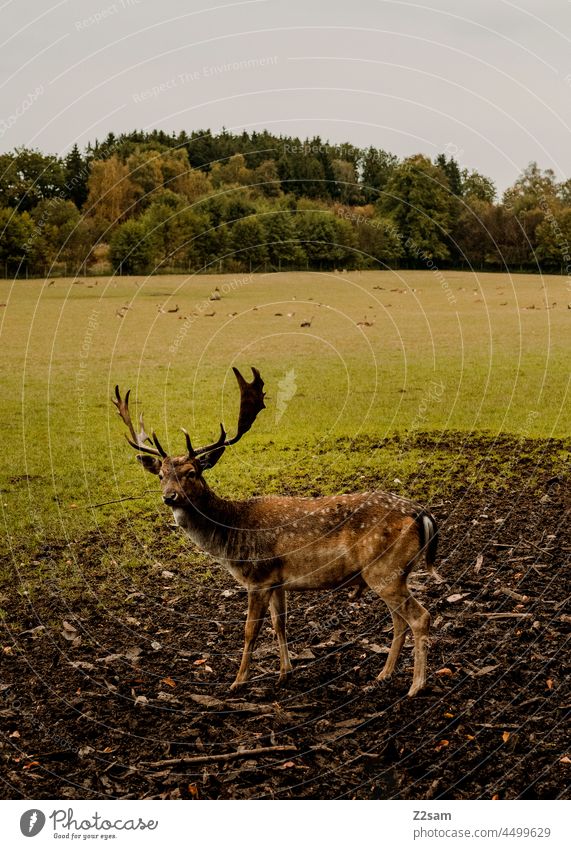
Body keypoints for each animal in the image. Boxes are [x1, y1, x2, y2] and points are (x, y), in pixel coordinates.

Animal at [115, 368, 438, 700]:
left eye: (192, 472)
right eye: (161, 474)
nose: (170, 497)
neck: (230, 533)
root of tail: (422, 514)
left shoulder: (257, 576)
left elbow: (250, 630)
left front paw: (238, 681)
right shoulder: (277, 579)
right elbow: (279, 623)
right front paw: (285, 673)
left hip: (384, 569)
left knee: (419, 617)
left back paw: (416, 685)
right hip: (392, 573)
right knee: (399, 621)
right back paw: (383, 675)